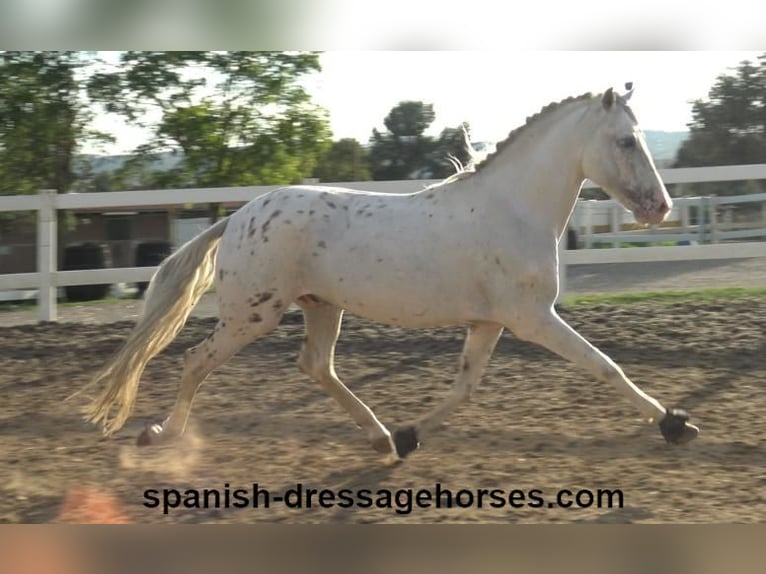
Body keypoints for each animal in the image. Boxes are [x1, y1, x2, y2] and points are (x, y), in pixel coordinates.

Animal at [76, 86, 704, 464]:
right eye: (625, 140)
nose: (661, 207)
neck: (512, 210)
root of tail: (237, 217)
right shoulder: (532, 319)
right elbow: (605, 367)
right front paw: (676, 424)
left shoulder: (489, 322)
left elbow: (465, 386)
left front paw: (409, 434)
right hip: (251, 314)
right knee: (195, 361)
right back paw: (162, 435)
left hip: (321, 306)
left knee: (316, 366)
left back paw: (380, 437)